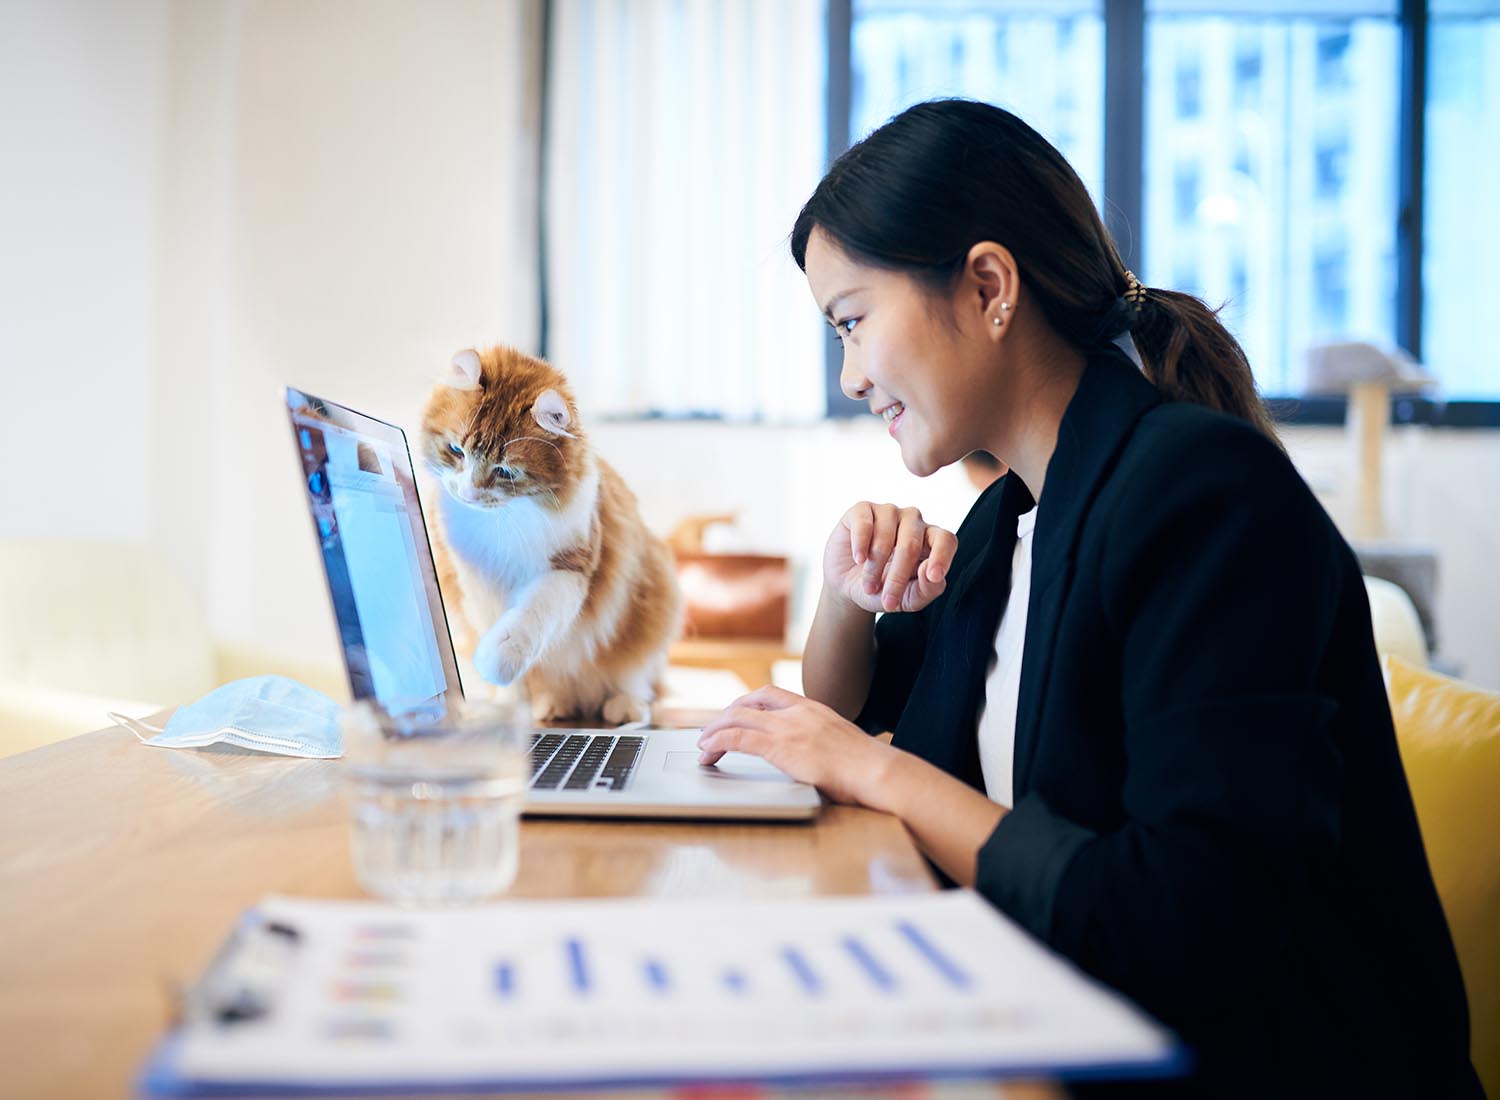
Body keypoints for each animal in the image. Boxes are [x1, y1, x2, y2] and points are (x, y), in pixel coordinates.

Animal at [420, 343, 684, 720]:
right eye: (456, 450)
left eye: (505, 472)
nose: (468, 494)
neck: (501, 523)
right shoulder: (475, 585)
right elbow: (509, 673)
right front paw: (508, 708)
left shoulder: (571, 568)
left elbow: (526, 622)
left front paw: (498, 660)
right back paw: (550, 706)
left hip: (655, 603)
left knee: (637, 679)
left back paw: (622, 707)